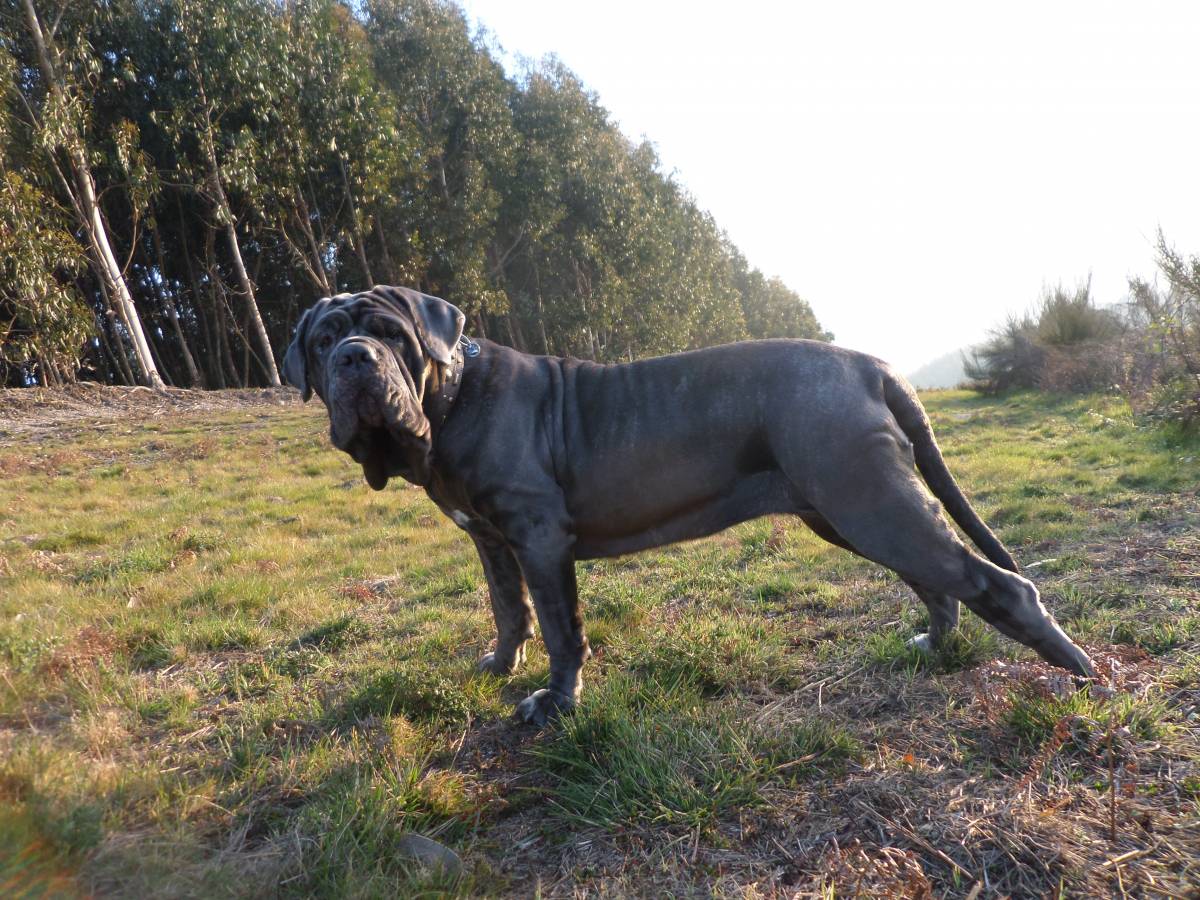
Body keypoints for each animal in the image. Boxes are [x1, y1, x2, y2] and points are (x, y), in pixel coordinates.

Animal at [283, 285, 1099, 724]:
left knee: (999, 584)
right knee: (939, 581)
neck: (448, 401)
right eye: (323, 340)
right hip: (848, 510)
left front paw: (557, 703)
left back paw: (1082, 676)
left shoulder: (539, 538)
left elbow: (561, 629)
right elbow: (508, 609)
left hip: (866, 500)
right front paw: (498, 664)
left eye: (391, 333)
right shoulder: (489, 539)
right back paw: (936, 645)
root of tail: (869, 364)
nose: (354, 358)